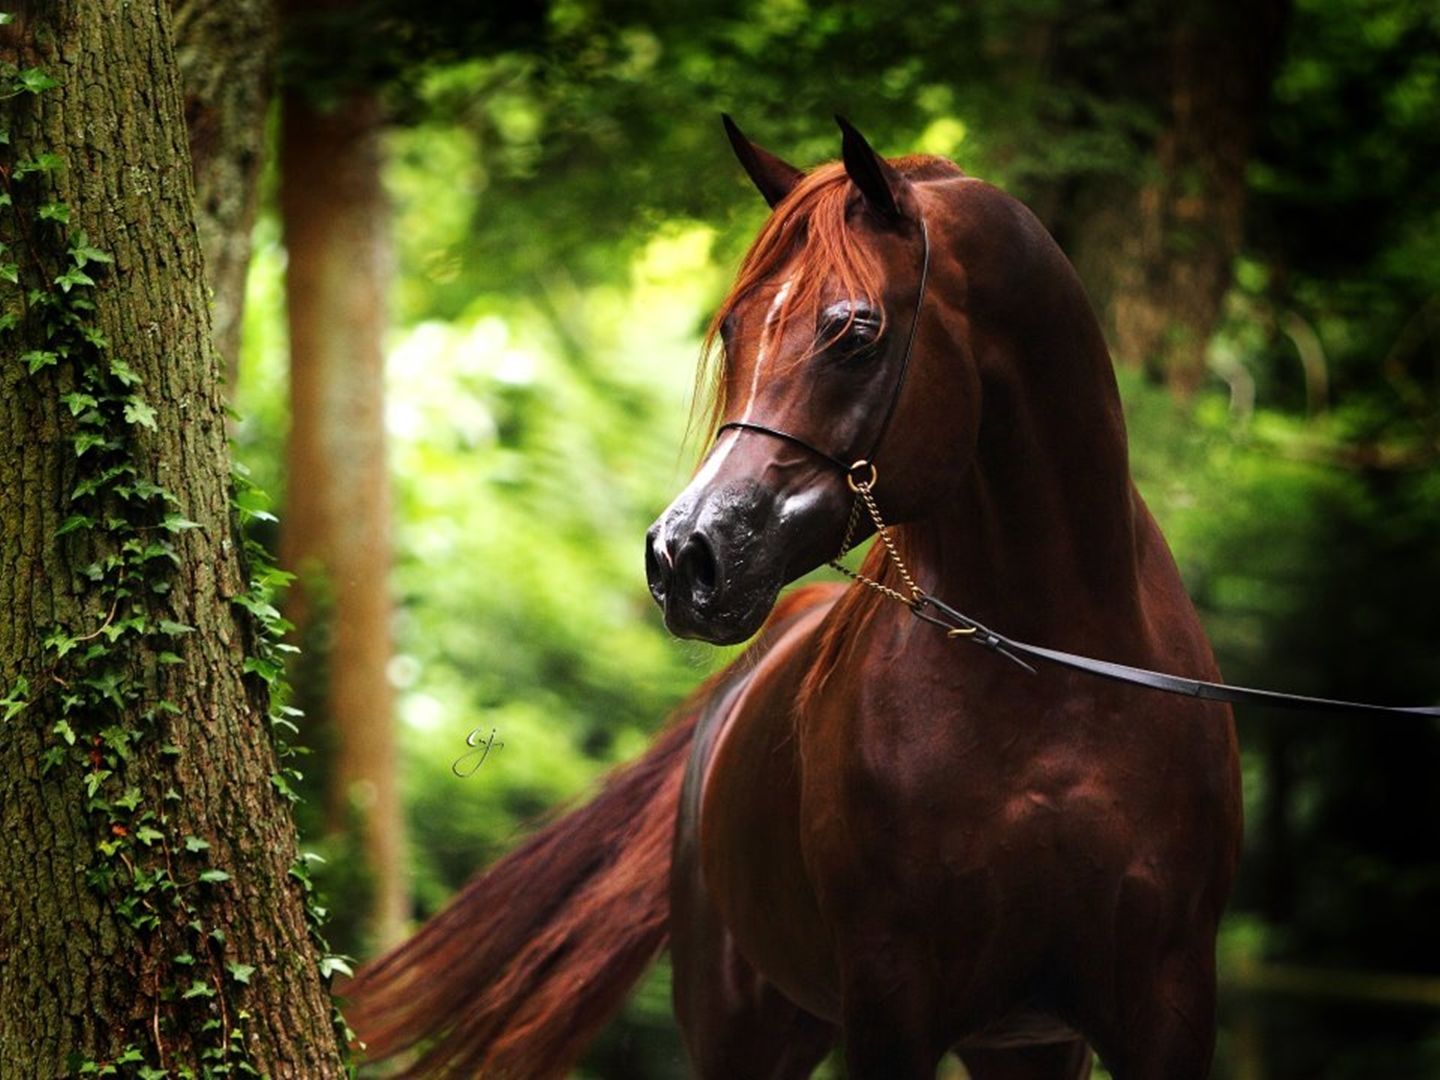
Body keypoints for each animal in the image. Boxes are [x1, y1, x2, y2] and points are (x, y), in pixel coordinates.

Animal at [342, 120, 1244, 1080]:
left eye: (854, 330)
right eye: (735, 327)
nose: (683, 556)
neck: (1054, 679)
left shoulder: (1165, 1005)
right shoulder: (890, 1005)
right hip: (748, 1028)